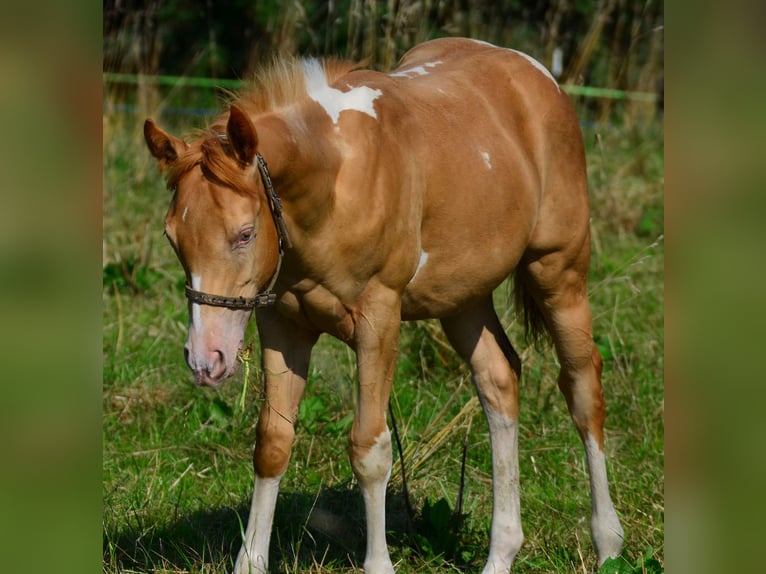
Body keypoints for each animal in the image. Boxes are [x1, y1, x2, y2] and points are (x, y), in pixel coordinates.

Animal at [143, 37, 624, 574]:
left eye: (245, 234)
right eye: (172, 238)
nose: (206, 360)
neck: (335, 181)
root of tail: (537, 76)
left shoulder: (378, 322)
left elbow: (369, 450)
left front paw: (378, 563)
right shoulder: (283, 325)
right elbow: (272, 442)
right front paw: (249, 561)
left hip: (559, 272)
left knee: (582, 388)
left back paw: (608, 542)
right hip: (463, 300)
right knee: (499, 380)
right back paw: (502, 551)